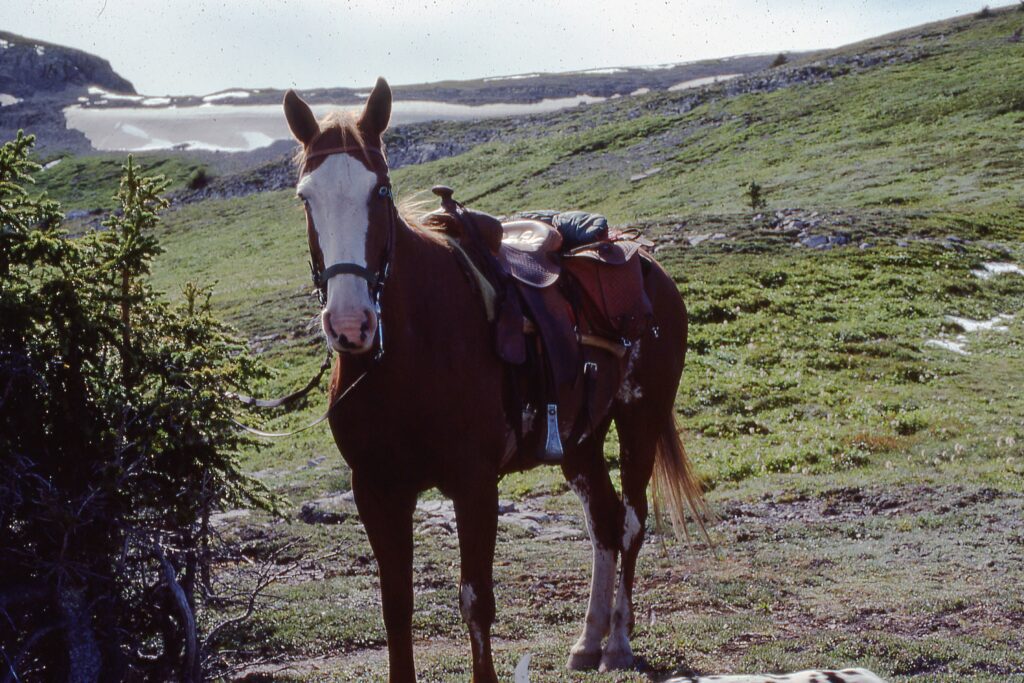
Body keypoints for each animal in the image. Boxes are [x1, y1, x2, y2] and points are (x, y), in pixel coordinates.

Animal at [282, 77, 705, 682]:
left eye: (380, 191)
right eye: (305, 197)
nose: (349, 324)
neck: (410, 352)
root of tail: (643, 259)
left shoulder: (474, 484)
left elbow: (476, 601)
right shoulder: (376, 488)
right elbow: (396, 604)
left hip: (639, 420)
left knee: (630, 521)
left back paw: (618, 642)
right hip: (581, 440)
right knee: (602, 521)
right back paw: (588, 640)